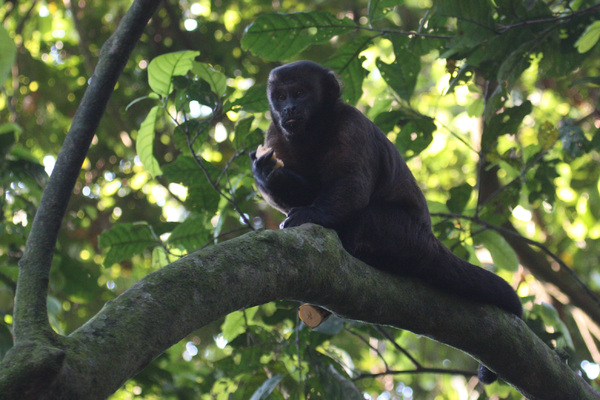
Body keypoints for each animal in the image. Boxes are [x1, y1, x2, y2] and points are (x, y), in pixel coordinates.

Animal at [251, 60, 524, 384]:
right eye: (280, 96)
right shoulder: (275, 135)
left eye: (300, 92)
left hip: (406, 236)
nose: (288, 108)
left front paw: (310, 215)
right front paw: (268, 175)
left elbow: (353, 185)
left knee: (367, 215)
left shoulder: (351, 125)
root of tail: (430, 240)